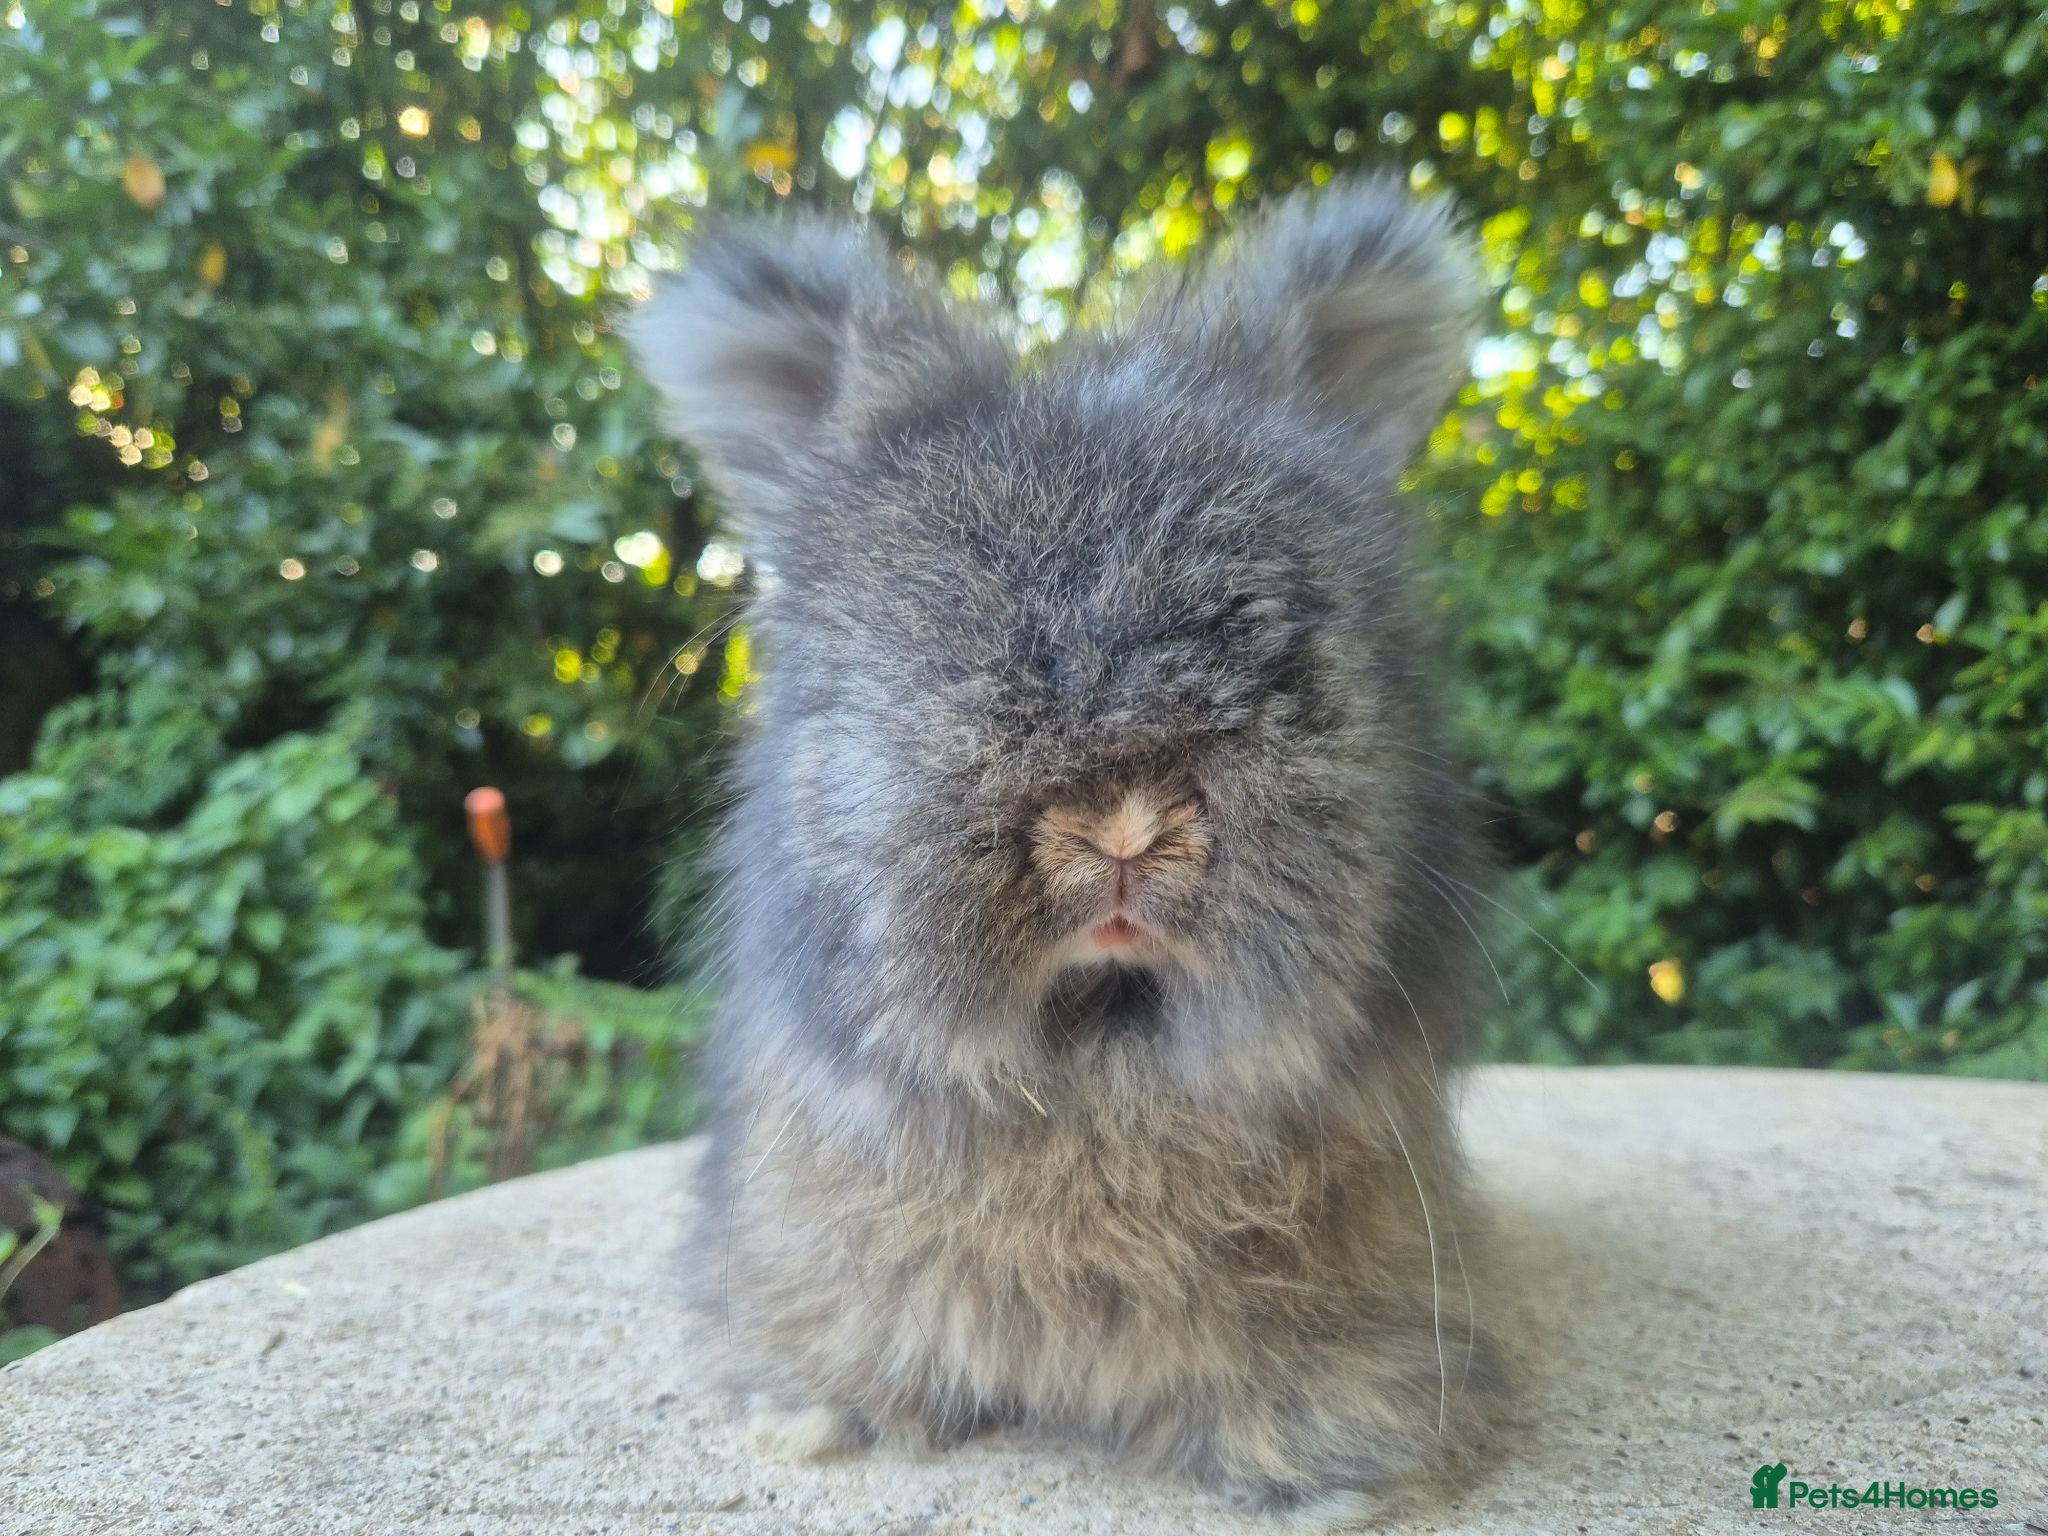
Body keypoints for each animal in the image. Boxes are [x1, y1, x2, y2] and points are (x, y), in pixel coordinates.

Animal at [627, 174, 1497, 1519]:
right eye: (937, 650)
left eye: (1283, 656)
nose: (1123, 826)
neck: (1095, 1064)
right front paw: (815, 1412)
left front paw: (1323, 1460)